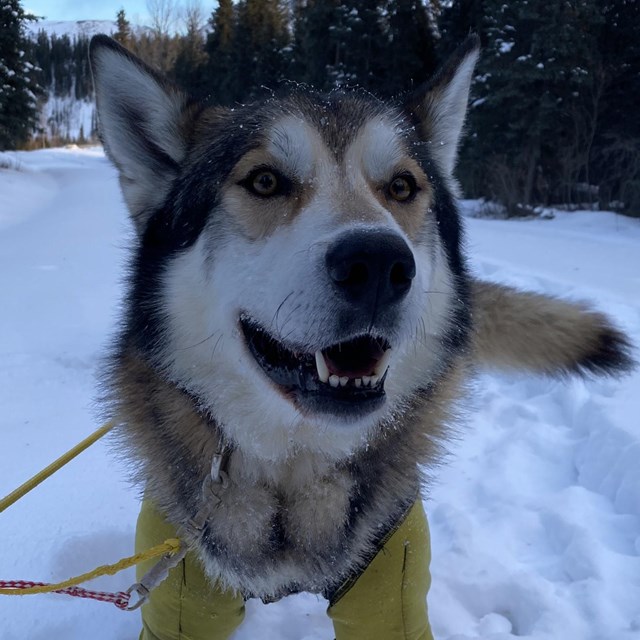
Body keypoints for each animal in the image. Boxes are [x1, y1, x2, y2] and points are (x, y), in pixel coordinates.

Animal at [87, 35, 632, 640]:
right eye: (265, 181)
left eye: (401, 186)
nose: (377, 263)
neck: (293, 477)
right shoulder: (184, 583)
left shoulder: (390, 578)